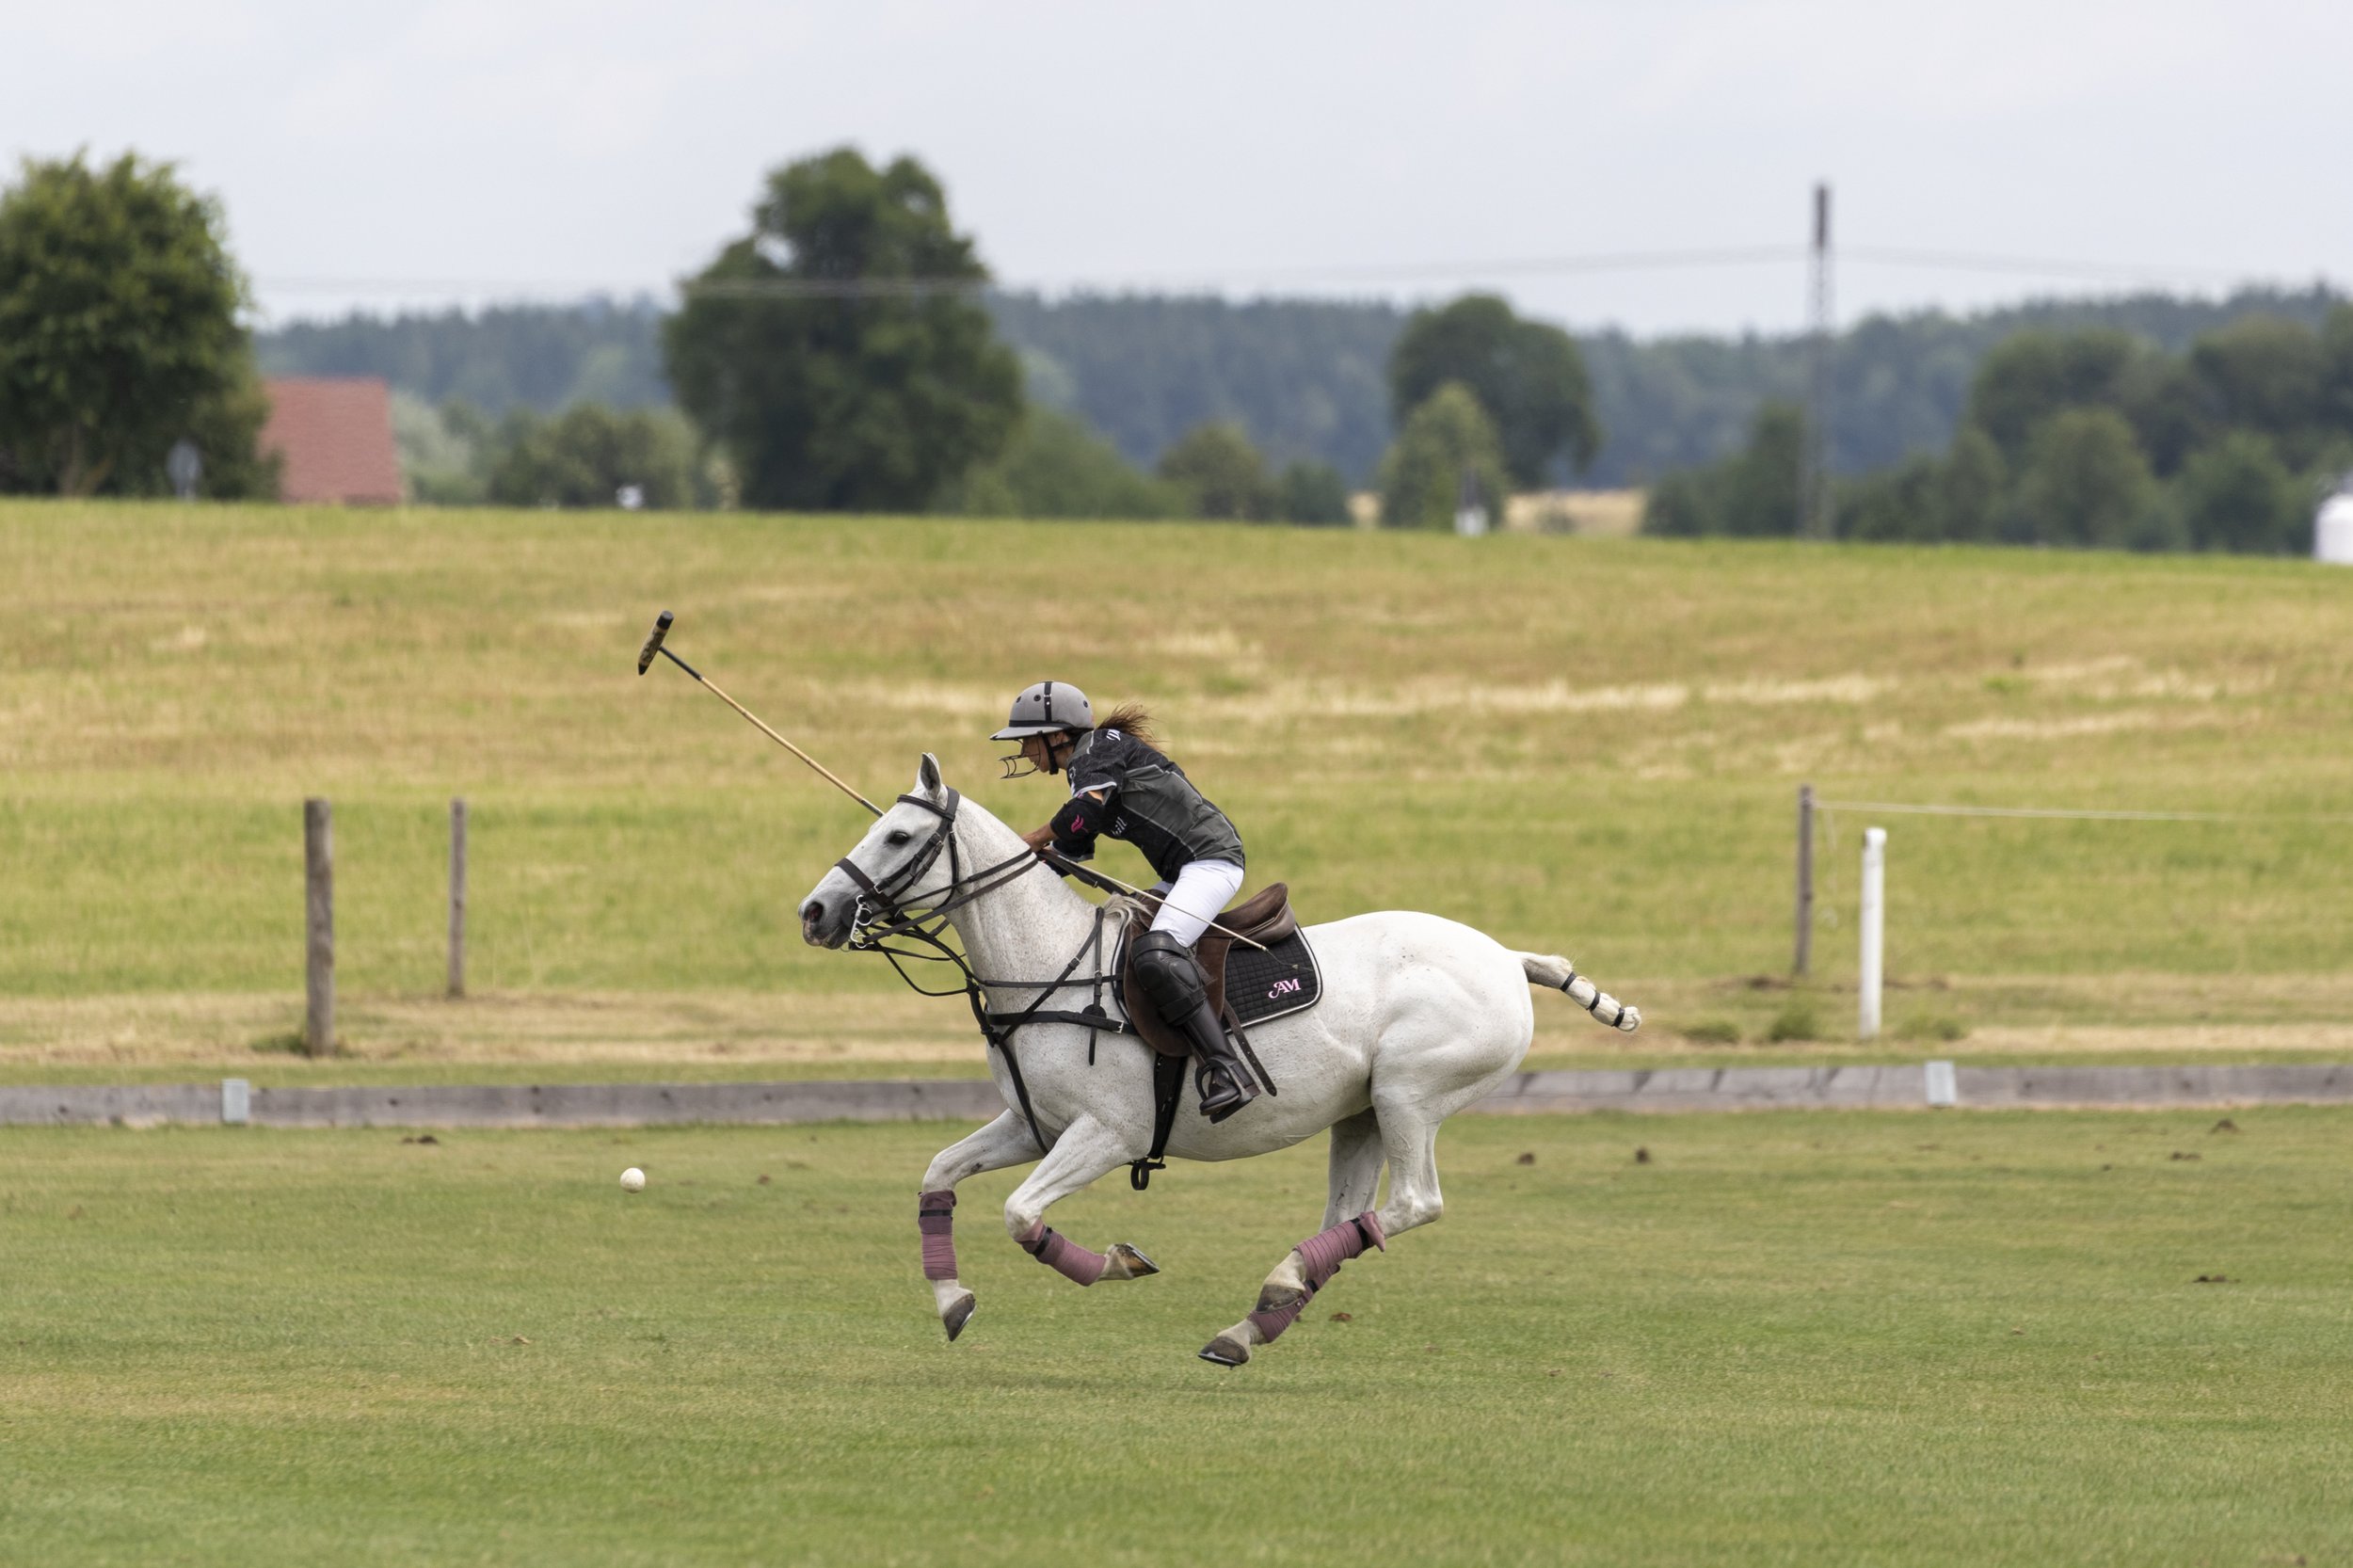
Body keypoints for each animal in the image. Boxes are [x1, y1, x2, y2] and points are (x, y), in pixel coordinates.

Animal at [797, 754, 1639, 1366]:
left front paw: (1119, 1261)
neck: (1049, 965)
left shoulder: (1110, 1133)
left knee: (1413, 1203)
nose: (816, 912)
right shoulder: (1035, 1126)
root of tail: (1509, 958)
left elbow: (1020, 1214)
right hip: (1362, 1113)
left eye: (897, 838)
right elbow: (938, 1173)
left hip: (1411, 1095)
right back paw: (1251, 1323)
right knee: (1351, 1216)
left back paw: (1275, 1288)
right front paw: (952, 1302)